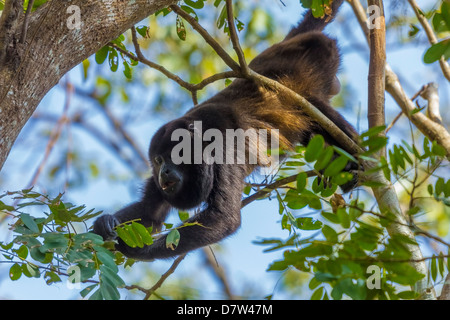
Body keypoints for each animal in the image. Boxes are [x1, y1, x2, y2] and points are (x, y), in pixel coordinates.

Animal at [93, 0, 356, 260]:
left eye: (173, 155)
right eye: (158, 160)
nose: (163, 171)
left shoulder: (224, 150)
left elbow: (223, 218)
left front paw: (136, 249)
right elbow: (150, 213)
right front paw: (104, 224)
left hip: (318, 58)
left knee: (319, 111)